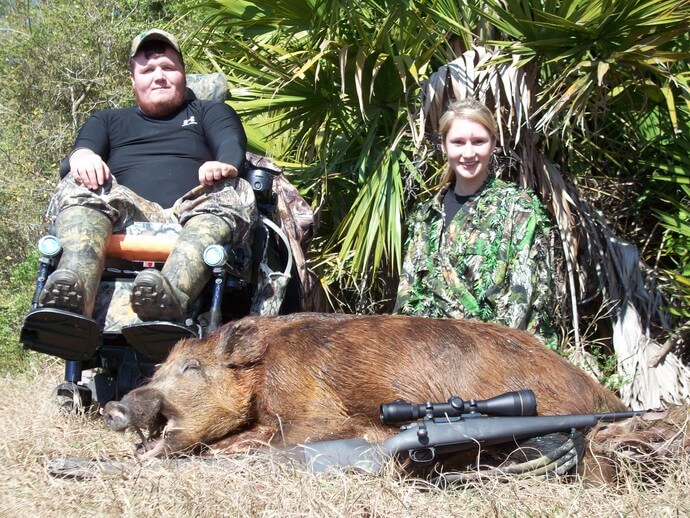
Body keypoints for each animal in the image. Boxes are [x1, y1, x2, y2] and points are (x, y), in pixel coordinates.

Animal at [103, 313, 627, 460]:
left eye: (191, 368)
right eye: (159, 367)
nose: (115, 407)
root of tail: (605, 395)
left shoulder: (308, 408)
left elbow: (273, 436)